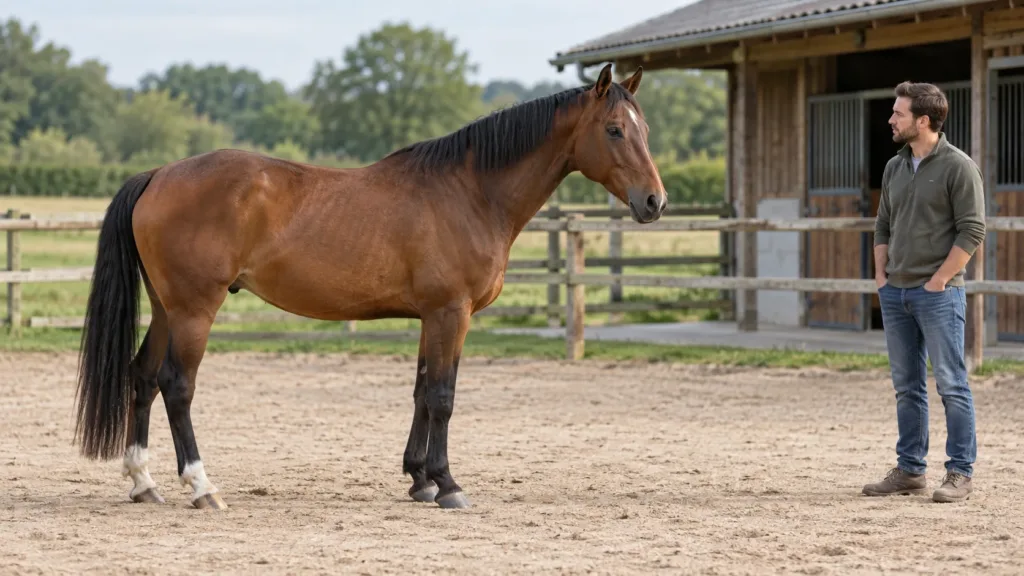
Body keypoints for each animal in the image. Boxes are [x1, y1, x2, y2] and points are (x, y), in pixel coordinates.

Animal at [72, 63, 666, 511]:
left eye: (646, 130)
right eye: (614, 130)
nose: (655, 201)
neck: (471, 192)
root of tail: (158, 174)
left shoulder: (432, 316)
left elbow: (422, 392)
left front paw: (419, 479)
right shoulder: (452, 313)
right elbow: (444, 395)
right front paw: (448, 484)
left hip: (166, 307)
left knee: (141, 377)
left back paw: (144, 483)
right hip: (196, 308)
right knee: (177, 385)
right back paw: (201, 486)